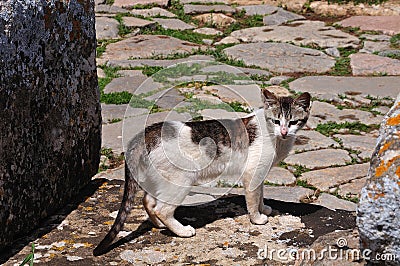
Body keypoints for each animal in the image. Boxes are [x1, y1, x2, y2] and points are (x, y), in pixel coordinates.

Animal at [92, 88, 310, 255]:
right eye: (276, 121)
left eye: (292, 122)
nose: (284, 131)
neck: (276, 139)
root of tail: (147, 132)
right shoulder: (252, 173)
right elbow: (253, 199)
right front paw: (257, 218)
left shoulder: (261, 174)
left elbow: (261, 195)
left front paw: (264, 209)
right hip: (181, 181)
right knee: (162, 208)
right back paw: (182, 231)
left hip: (161, 180)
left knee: (148, 201)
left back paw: (160, 225)